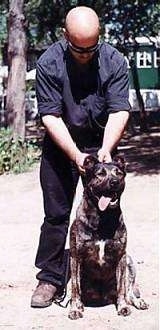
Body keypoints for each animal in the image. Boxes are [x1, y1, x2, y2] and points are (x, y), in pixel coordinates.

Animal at [68, 155, 148, 320]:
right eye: (100, 174)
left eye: (119, 173)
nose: (115, 182)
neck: (103, 217)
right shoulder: (75, 256)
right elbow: (75, 287)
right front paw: (75, 309)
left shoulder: (121, 255)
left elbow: (122, 287)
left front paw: (122, 307)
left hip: (129, 261)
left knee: (129, 291)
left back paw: (138, 302)